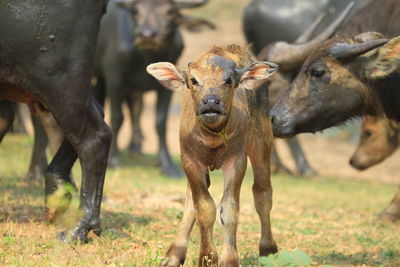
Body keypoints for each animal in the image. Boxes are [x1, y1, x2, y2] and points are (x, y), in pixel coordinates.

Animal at [93, 0, 212, 178]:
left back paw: (134, 148)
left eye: (170, 12)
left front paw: (167, 165)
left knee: (135, 110)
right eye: (136, 11)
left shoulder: (165, 87)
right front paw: (113, 160)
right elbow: (117, 117)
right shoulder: (114, 79)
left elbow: (160, 122)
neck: (146, 57)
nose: (147, 35)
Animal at [147, 45, 278, 266]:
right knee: (191, 201)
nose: (211, 102)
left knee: (263, 192)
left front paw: (230, 260)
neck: (212, 137)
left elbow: (229, 209)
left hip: (262, 142)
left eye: (228, 80)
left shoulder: (236, 161)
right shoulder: (190, 161)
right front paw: (206, 257)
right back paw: (174, 254)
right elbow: (203, 207)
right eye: (193, 80)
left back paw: (269, 251)